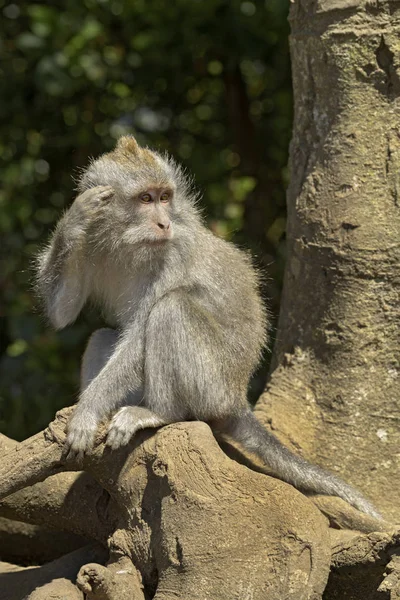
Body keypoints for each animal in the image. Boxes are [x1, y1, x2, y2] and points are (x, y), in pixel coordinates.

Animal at [36, 134, 382, 516]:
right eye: (145, 199)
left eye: (164, 197)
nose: (164, 224)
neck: (127, 243)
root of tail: (236, 398)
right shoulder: (92, 245)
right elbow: (62, 311)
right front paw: (75, 215)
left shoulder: (174, 254)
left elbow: (138, 337)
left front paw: (87, 412)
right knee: (102, 335)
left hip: (211, 384)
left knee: (171, 310)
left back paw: (158, 413)